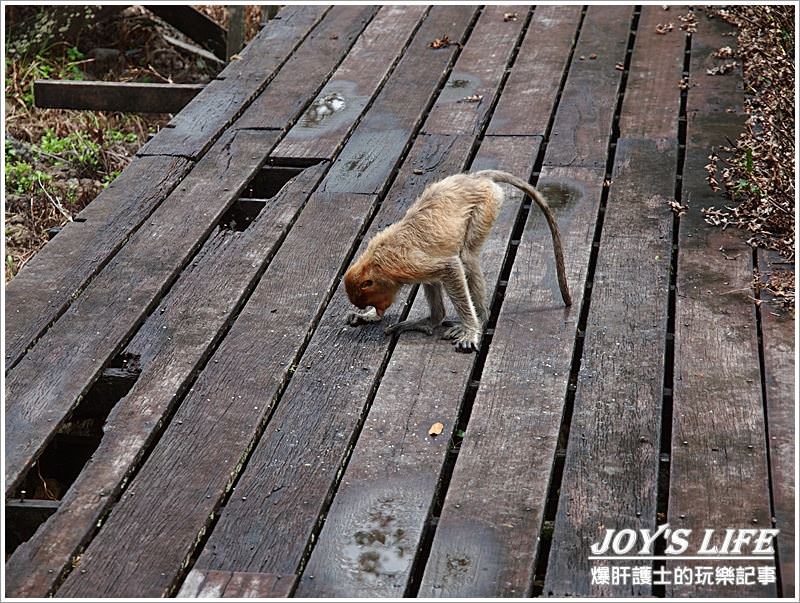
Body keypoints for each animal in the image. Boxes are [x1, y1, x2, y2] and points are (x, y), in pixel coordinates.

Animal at [342, 170, 568, 352]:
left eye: (370, 299)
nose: (380, 310)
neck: (374, 263)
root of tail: (475, 178)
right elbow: (436, 276)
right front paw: (369, 316)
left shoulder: (400, 265)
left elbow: (450, 267)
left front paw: (470, 331)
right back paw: (431, 320)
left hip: (486, 205)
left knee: (467, 257)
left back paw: (481, 318)